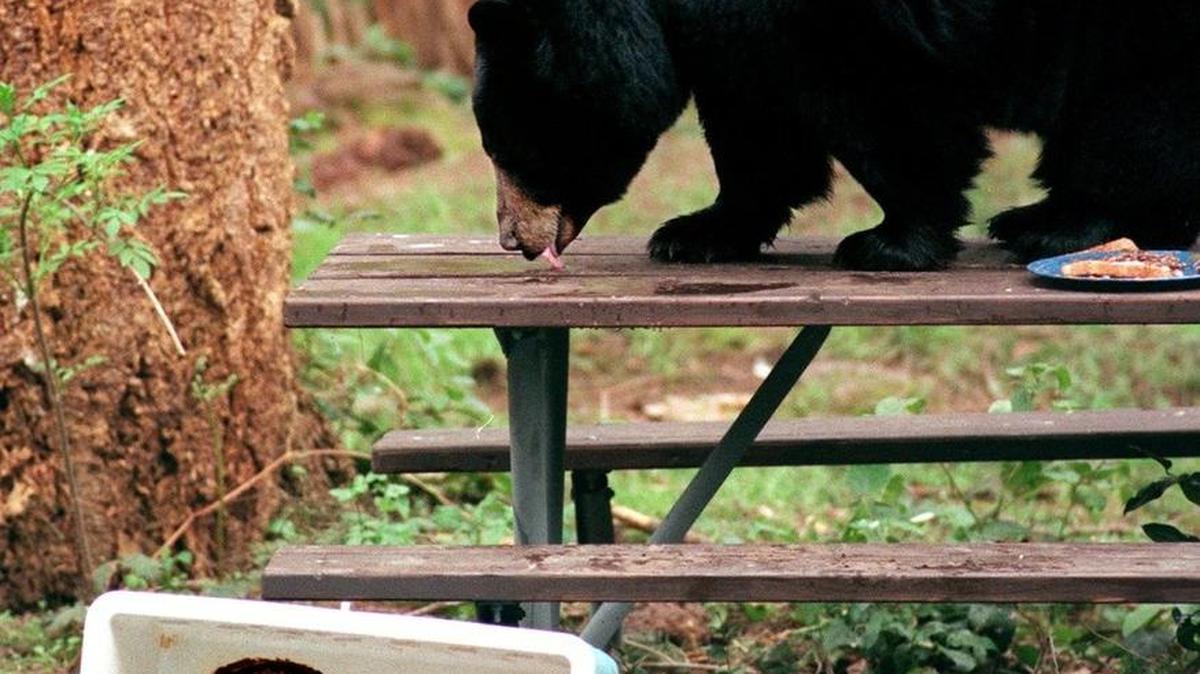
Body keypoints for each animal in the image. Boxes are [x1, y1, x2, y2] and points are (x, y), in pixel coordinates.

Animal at [468, 0, 1200, 271]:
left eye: (505, 148)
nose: (513, 239)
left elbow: (884, 103)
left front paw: (891, 242)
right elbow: (756, 117)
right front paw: (698, 232)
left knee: (1137, 111)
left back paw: (1058, 223)